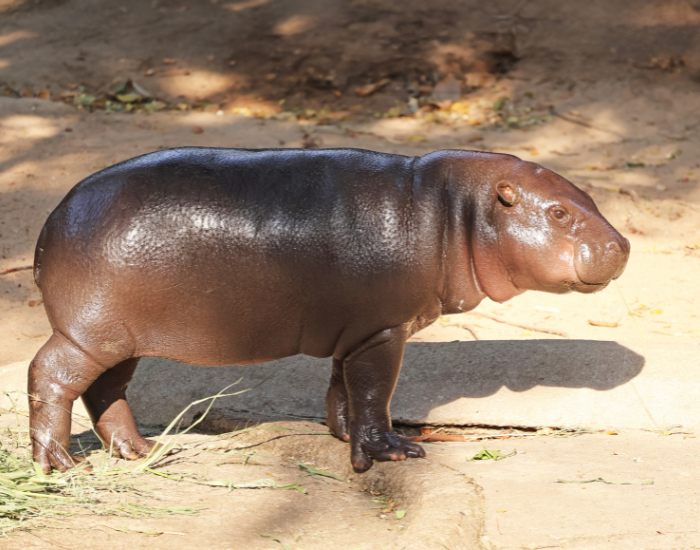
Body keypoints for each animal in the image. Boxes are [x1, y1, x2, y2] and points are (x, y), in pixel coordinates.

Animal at [28, 147, 629, 473]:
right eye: (557, 213)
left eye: (587, 197)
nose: (622, 245)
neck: (452, 212)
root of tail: (52, 218)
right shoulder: (382, 330)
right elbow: (374, 392)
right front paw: (393, 453)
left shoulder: (355, 331)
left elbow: (343, 388)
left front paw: (343, 439)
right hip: (89, 331)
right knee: (51, 375)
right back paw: (58, 463)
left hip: (120, 337)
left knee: (106, 391)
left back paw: (141, 451)